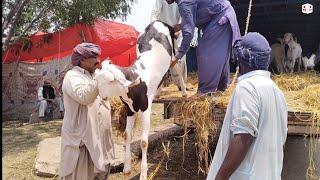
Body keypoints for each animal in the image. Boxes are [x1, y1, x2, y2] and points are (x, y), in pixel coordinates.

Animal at [95, 21, 178, 180]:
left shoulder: (146, 108)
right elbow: (127, 135)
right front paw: (126, 168)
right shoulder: (129, 109)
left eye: (110, 80)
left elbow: (144, 142)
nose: (100, 97)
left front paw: (144, 173)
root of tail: (157, 22)